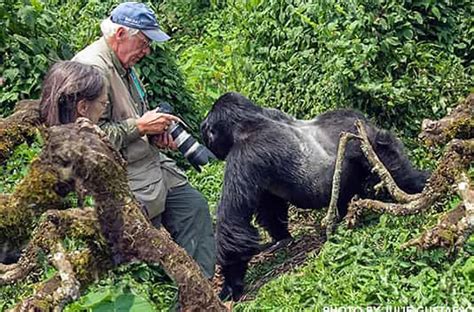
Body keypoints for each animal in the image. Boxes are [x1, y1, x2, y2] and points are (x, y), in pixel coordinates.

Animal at [200, 92, 430, 300]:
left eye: (209, 132)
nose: (205, 135)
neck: (249, 122)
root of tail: (364, 121)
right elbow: (270, 208)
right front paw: (282, 236)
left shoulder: (244, 155)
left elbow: (233, 225)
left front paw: (231, 284)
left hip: (372, 144)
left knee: (398, 175)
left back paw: (420, 185)